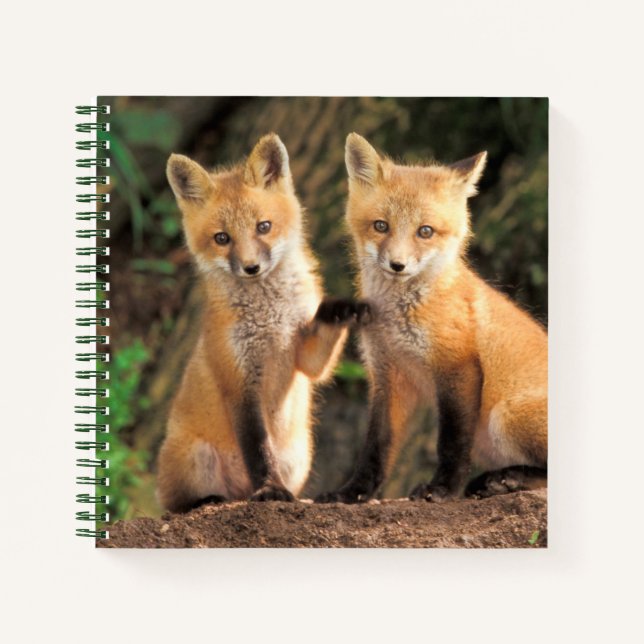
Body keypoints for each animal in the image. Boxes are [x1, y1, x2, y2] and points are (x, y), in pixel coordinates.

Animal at [157, 133, 369, 512]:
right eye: (222, 238)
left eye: (264, 227)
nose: (251, 267)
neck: (270, 319)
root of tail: (239, 493)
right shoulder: (239, 382)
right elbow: (258, 450)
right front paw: (270, 489)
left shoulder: (304, 356)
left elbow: (319, 352)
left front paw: (340, 309)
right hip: (196, 458)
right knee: (176, 504)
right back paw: (209, 501)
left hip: (299, 457)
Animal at [317, 133, 547, 504]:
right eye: (380, 226)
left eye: (425, 231)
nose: (397, 265)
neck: (398, 320)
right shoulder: (387, 375)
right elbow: (375, 447)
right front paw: (352, 493)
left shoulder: (458, 366)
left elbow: (451, 443)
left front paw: (442, 489)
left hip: (505, 415)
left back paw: (506, 480)